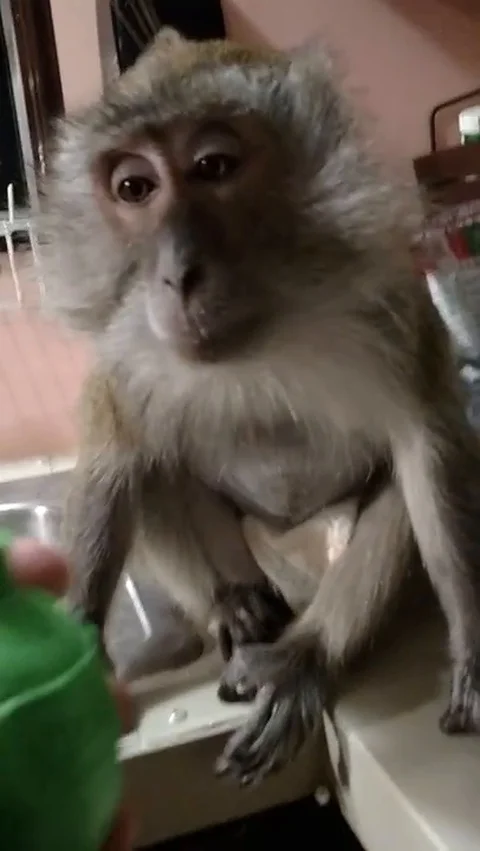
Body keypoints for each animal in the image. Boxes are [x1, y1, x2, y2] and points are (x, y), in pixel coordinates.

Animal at [39, 26, 480, 786]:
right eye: (134, 188)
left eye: (214, 166)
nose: (177, 274)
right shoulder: (127, 333)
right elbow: (115, 450)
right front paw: (82, 637)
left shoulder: (389, 297)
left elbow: (425, 444)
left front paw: (474, 644)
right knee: (152, 467)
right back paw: (236, 610)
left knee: (396, 494)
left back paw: (303, 656)